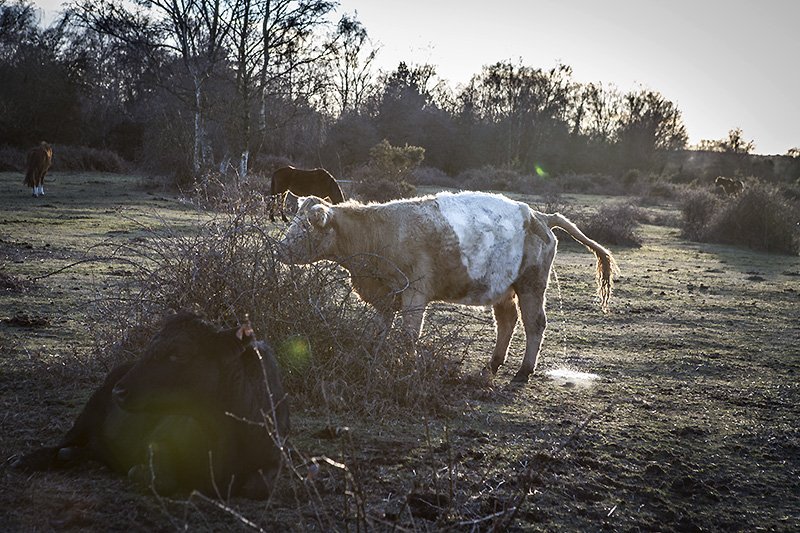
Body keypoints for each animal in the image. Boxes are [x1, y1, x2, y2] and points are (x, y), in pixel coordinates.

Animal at [13, 312, 290, 499]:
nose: (119, 391)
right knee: (64, 442)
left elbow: (258, 486)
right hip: (87, 414)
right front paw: (140, 471)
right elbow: (159, 478)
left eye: (180, 353)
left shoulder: (274, 460)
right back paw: (31, 459)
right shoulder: (159, 440)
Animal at [276, 191, 617, 383]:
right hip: (502, 287)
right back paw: (492, 365)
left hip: (532, 285)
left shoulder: (414, 293)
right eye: (293, 220)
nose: (280, 250)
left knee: (535, 324)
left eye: (306, 226)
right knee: (507, 321)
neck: (377, 233)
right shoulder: (385, 295)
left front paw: (405, 364)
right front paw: (371, 356)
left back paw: (523, 371)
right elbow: (379, 330)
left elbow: (408, 334)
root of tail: (538, 215)